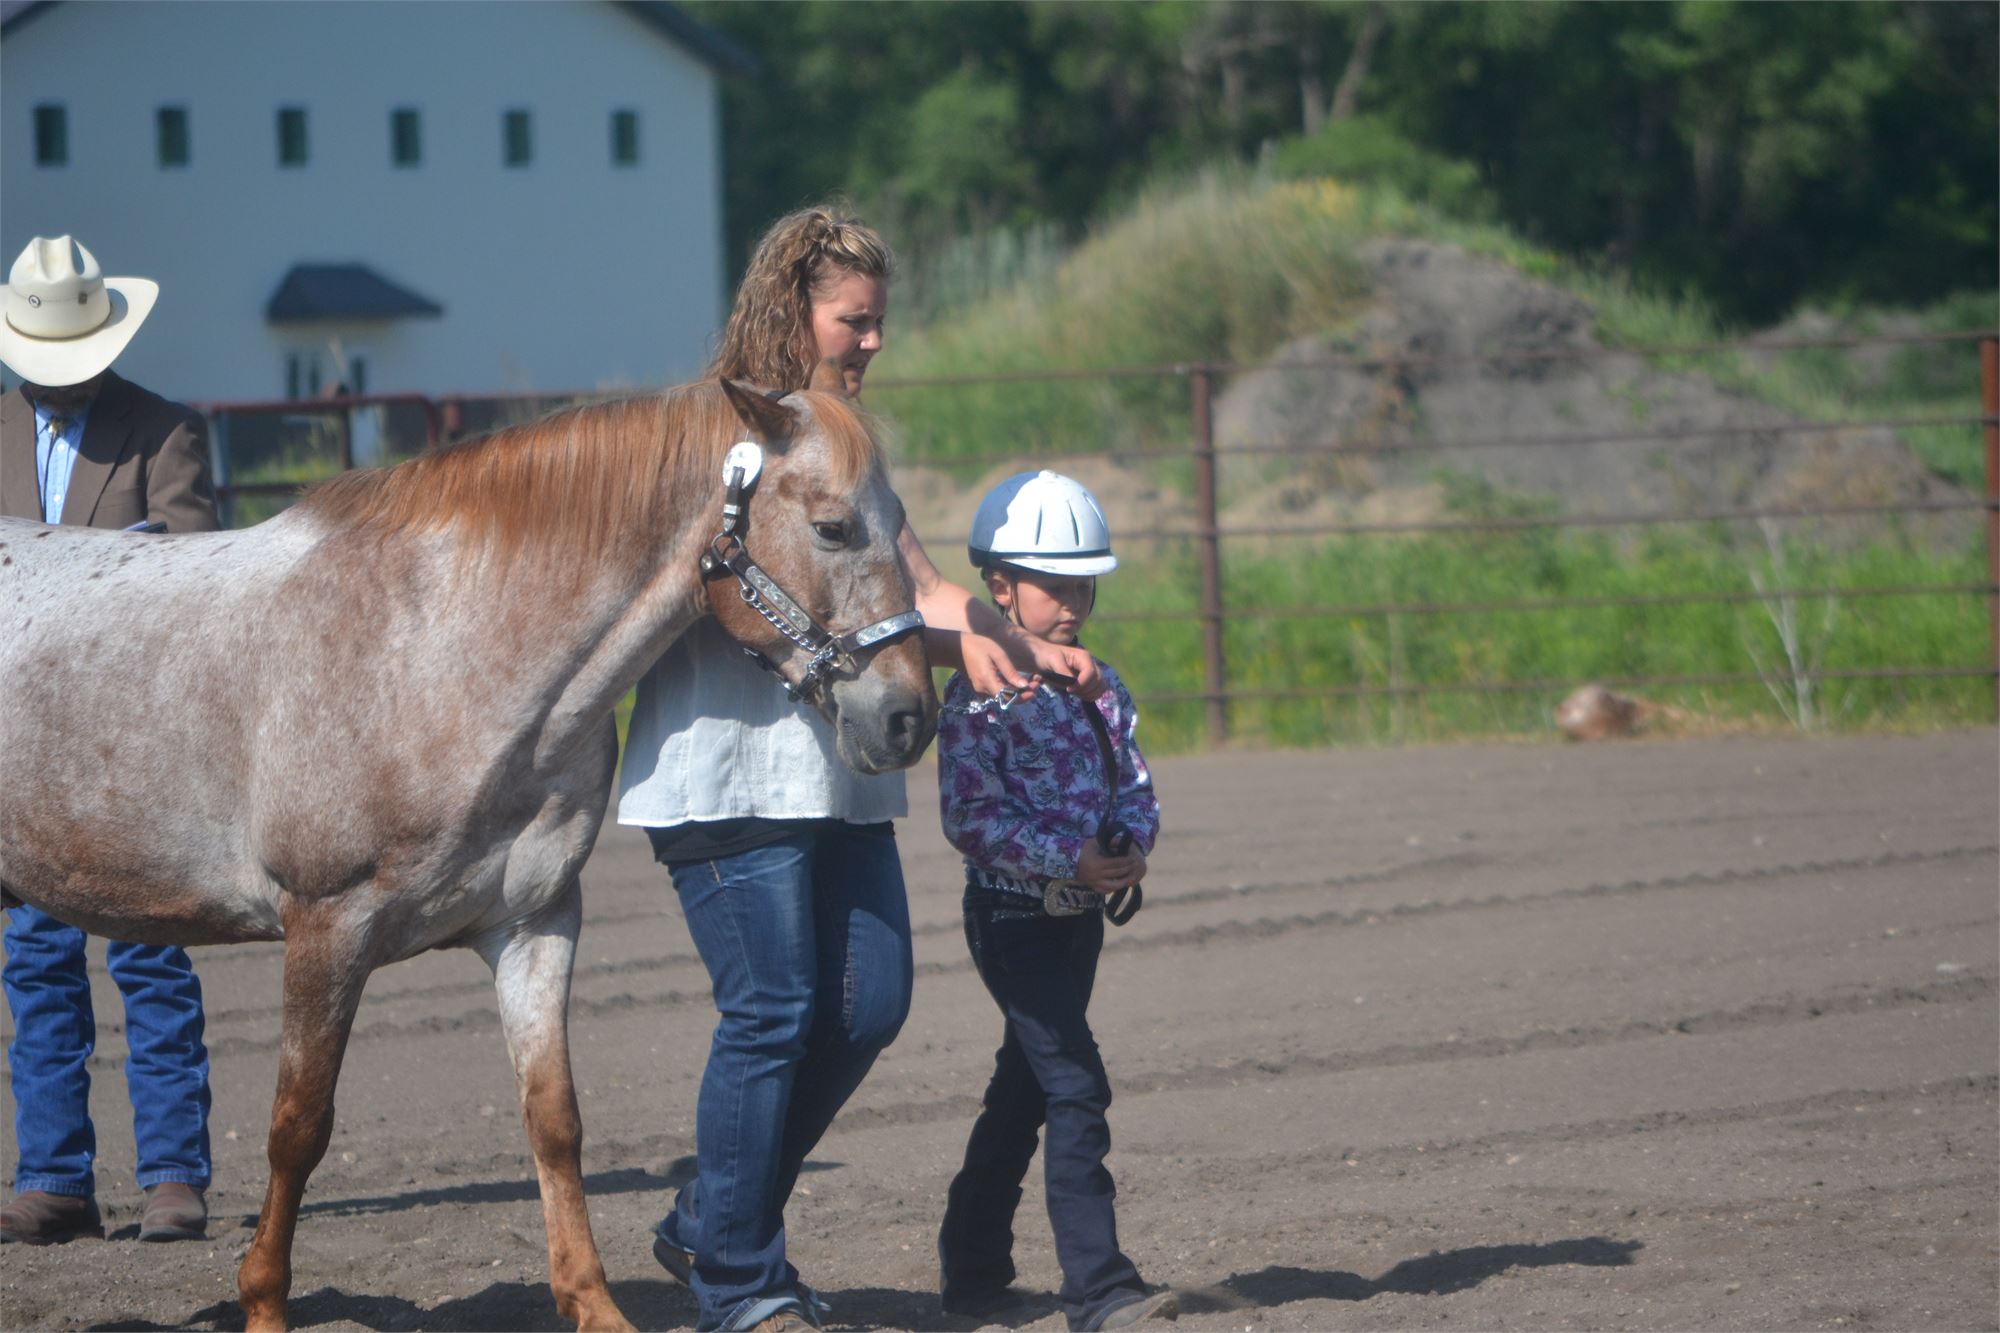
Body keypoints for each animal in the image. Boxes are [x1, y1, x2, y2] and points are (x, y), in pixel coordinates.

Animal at [0, 368, 932, 1320]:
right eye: (833, 526)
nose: (908, 717)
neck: (434, 645)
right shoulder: (326, 930)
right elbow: (298, 1126)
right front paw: (262, 1301)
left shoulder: (534, 924)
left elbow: (553, 1117)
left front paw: (593, 1303)